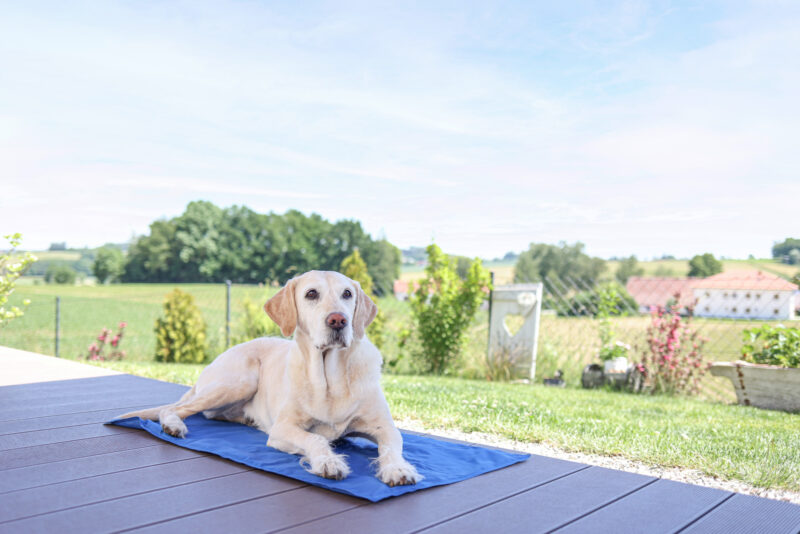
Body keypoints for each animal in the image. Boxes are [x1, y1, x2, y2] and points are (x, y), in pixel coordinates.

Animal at [120, 272, 418, 490]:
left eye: (348, 294)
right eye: (311, 294)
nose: (338, 320)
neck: (330, 380)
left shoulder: (385, 427)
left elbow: (391, 448)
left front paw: (397, 468)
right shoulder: (283, 429)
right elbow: (315, 439)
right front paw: (328, 462)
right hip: (240, 380)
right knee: (173, 409)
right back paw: (173, 425)